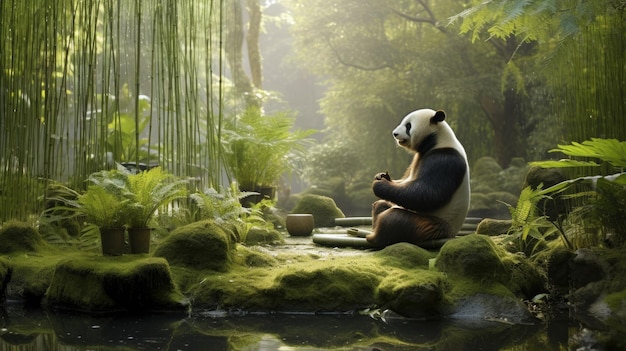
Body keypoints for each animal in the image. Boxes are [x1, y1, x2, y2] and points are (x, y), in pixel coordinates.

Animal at [366, 108, 468, 249]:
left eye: (408, 126)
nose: (395, 134)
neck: (435, 140)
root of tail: (451, 234)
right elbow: (406, 181)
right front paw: (381, 176)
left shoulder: (445, 159)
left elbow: (426, 193)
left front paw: (380, 185)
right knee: (381, 205)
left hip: (431, 224)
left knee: (395, 219)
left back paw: (375, 238)